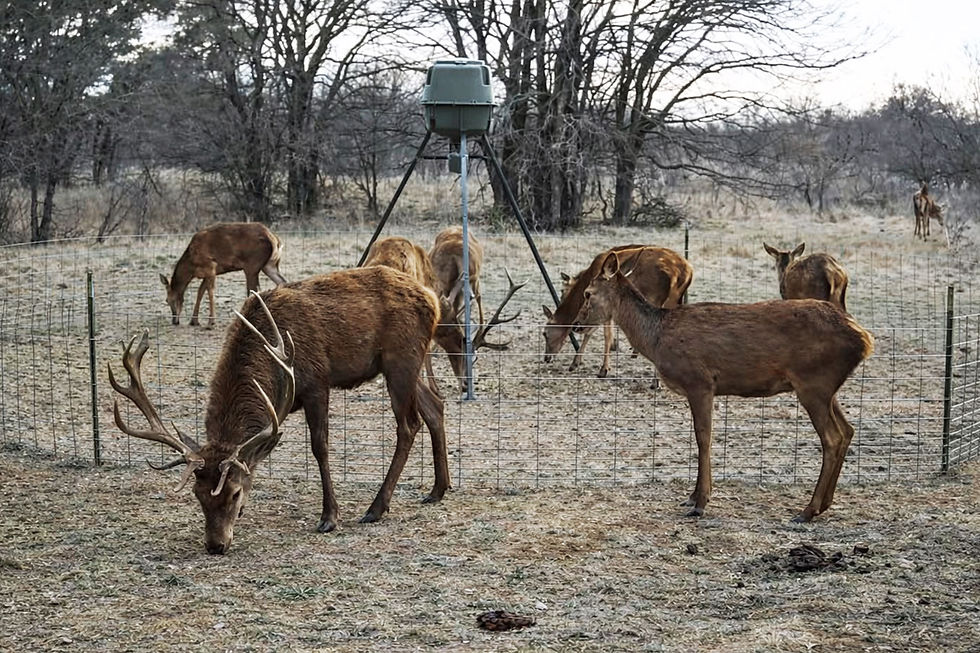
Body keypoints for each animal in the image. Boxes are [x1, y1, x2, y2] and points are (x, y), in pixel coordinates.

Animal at [110, 266, 451, 554]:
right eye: (197, 494)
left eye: (234, 492)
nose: (215, 545)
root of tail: (432, 299)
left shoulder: (317, 382)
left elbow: (320, 447)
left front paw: (329, 517)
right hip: (404, 364)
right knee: (435, 406)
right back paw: (437, 489)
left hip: (400, 359)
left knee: (408, 425)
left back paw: (375, 508)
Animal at [543, 245, 693, 378]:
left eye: (545, 333)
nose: (546, 358)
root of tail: (687, 272)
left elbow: (602, 334)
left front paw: (602, 369)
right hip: (675, 299)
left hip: (656, 300)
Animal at [576, 251, 874, 522]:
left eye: (588, 293)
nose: (577, 324)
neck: (657, 340)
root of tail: (864, 340)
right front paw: (693, 496)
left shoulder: (699, 381)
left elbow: (703, 437)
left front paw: (700, 502)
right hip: (825, 387)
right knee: (847, 430)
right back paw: (825, 504)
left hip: (813, 382)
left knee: (832, 437)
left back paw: (808, 510)